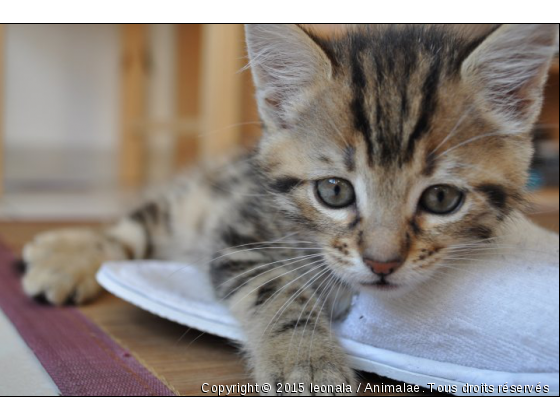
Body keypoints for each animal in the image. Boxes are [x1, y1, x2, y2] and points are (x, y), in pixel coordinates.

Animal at [19, 25, 556, 394]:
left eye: (441, 199)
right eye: (334, 191)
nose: (382, 263)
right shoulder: (239, 233)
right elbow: (278, 290)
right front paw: (308, 363)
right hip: (193, 205)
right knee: (131, 230)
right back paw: (64, 258)